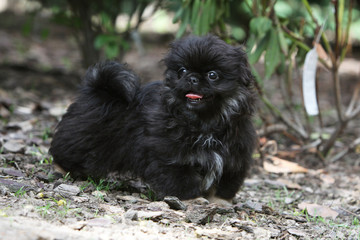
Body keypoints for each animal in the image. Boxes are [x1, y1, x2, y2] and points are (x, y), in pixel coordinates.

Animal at [50, 34, 258, 202]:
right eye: (182, 71)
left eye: (213, 75)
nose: (192, 78)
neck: (204, 122)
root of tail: (99, 88)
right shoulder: (171, 158)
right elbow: (184, 183)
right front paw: (193, 200)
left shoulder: (232, 159)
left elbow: (222, 186)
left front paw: (220, 203)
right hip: (84, 138)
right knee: (66, 150)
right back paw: (61, 168)